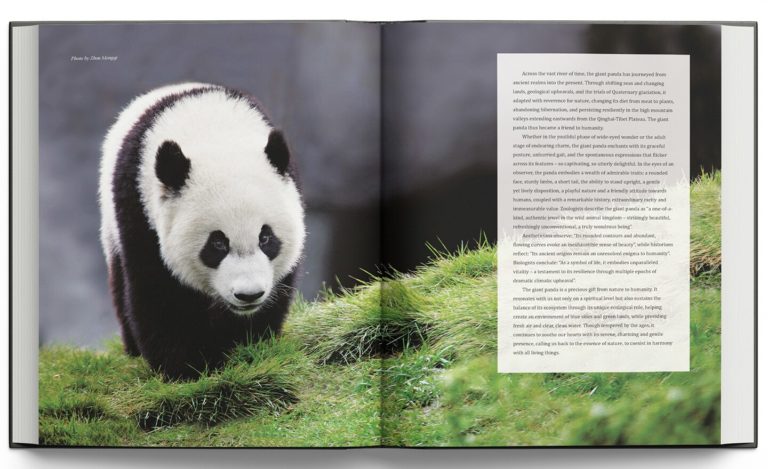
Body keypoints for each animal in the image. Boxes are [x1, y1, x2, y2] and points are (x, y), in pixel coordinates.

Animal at [99, 83, 306, 380]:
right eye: (217, 244)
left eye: (266, 237)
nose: (249, 295)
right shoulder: (139, 210)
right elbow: (159, 293)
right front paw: (186, 368)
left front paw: (249, 348)